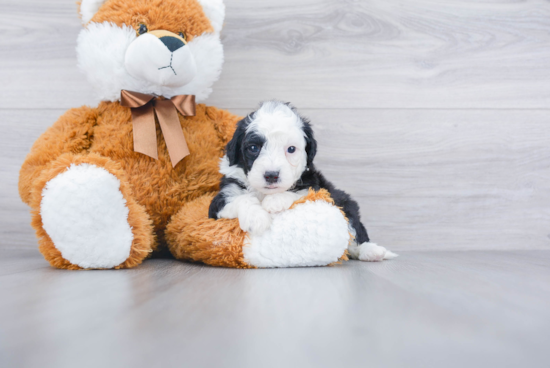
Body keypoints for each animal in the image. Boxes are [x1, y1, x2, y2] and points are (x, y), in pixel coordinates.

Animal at [209, 100, 398, 262]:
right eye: (254, 148)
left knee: (355, 233)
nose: (271, 175)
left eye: (291, 149)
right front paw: (256, 218)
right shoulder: (218, 202)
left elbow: (299, 191)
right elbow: (242, 198)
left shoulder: (317, 187)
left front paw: (274, 201)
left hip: (346, 204)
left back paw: (372, 251)